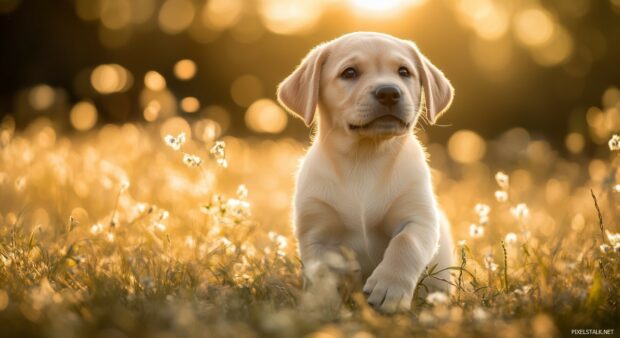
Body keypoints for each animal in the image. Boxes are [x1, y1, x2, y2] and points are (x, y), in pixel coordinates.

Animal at [276, 32, 456, 314]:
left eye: (404, 71)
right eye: (349, 72)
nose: (389, 92)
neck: (364, 158)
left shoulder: (420, 219)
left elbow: (406, 243)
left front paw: (390, 288)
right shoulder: (316, 234)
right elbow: (321, 272)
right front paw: (321, 304)